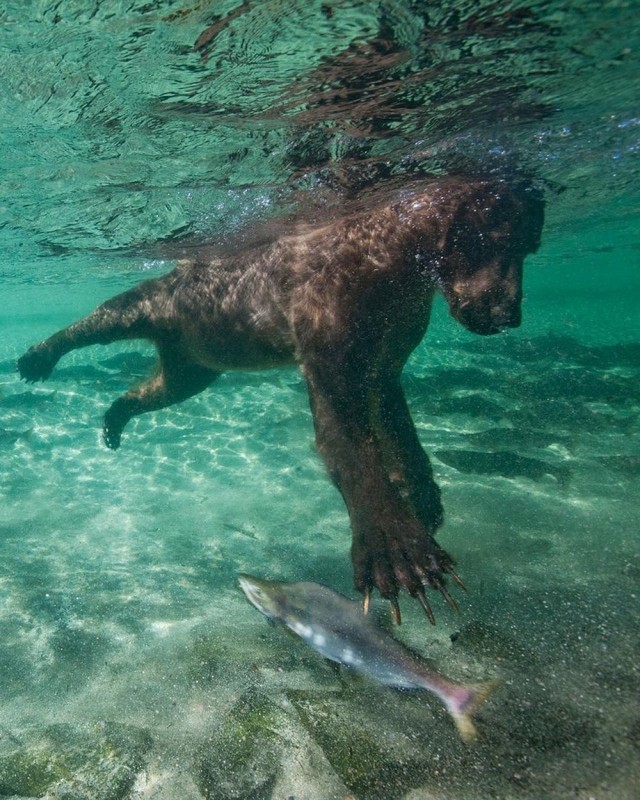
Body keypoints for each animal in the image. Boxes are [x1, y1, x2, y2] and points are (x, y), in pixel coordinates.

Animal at [16, 177, 544, 624]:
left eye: (530, 248)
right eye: (500, 239)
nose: (509, 313)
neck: (395, 264)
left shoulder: (389, 353)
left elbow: (398, 428)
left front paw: (424, 501)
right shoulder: (331, 332)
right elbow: (349, 444)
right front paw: (402, 555)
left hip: (196, 360)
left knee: (163, 387)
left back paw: (114, 419)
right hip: (158, 303)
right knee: (104, 318)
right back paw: (37, 357)